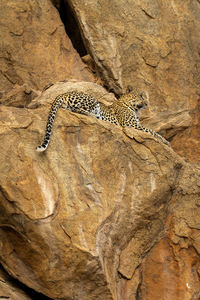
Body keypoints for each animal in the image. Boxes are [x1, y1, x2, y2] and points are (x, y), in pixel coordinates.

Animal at [36, 88, 169, 151]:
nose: (147, 103)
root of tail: (63, 93)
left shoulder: (134, 124)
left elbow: (151, 130)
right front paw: (166, 141)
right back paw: (95, 116)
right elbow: (152, 131)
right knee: (77, 109)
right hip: (93, 100)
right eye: (141, 96)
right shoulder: (130, 124)